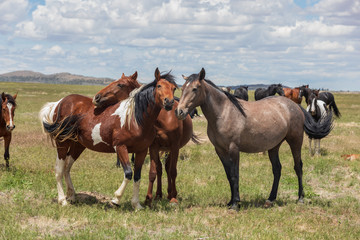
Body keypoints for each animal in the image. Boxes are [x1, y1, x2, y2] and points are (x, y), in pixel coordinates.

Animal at [39, 68, 176, 209]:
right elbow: (128, 173)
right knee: (59, 170)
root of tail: (59, 103)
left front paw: (136, 204)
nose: (169, 102)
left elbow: (137, 176)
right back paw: (63, 200)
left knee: (67, 168)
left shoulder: (142, 151)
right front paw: (116, 199)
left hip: (78, 145)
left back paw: (71, 196)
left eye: (174, 88)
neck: (135, 119)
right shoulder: (120, 147)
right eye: (159, 86)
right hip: (63, 142)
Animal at [93, 72, 198, 204]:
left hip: (170, 149)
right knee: (161, 168)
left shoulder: (174, 146)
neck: (162, 119)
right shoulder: (153, 146)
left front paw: (173, 198)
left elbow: (173, 171)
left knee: (168, 168)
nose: (97, 97)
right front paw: (149, 198)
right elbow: (153, 172)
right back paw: (159, 194)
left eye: (120, 84)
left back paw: (170, 194)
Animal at [174, 68, 332, 210]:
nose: (179, 111)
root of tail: (295, 106)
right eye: (182, 89)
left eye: (195, 89)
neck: (223, 113)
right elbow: (229, 175)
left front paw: (236, 203)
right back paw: (270, 199)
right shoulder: (220, 150)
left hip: (295, 141)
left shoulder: (233, 149)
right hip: (274, 146)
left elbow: (235, 175)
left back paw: (300, 198)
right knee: (277, 169)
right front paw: (230, 201)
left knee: (298, 166)